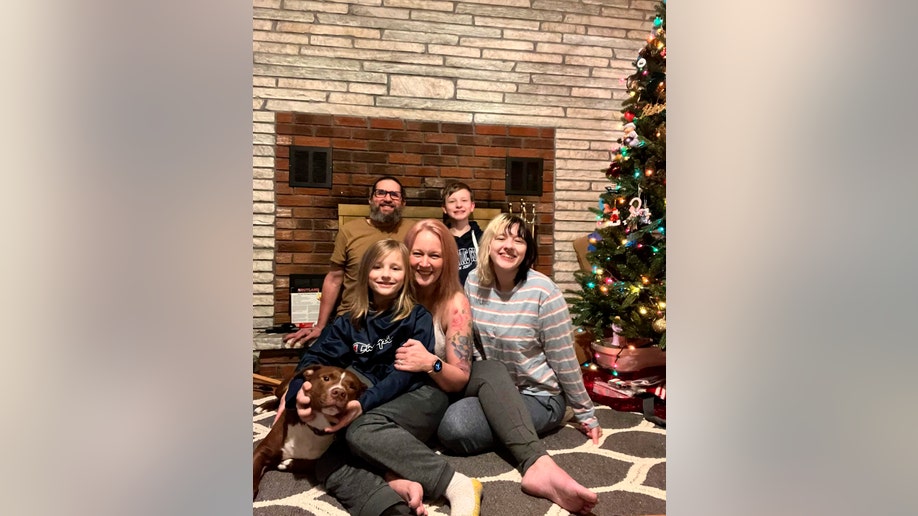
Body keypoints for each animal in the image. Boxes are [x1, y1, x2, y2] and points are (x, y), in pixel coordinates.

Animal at [253, 364, 368, 498]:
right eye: (326, 378)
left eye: (352, 387)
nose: (339, 392)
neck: (314, 427)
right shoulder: (264, 449)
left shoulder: (321, 458)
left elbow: (311, 464)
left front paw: (287, 463)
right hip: (284, 387)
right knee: (280, 397)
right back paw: (263, 407)